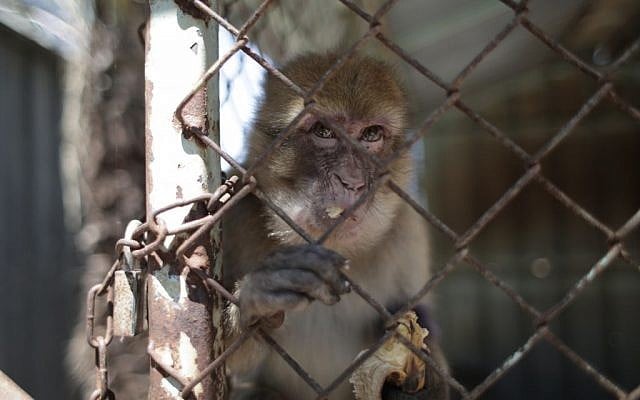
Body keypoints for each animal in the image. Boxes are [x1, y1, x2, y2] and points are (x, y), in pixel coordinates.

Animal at [66, 53, 449, 400]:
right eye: (324, 131)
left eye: (371, 134)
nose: (353, 181)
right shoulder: (233, 216)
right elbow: (218, 366)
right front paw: (258, 298)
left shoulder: (409, 230)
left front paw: (423, 378)